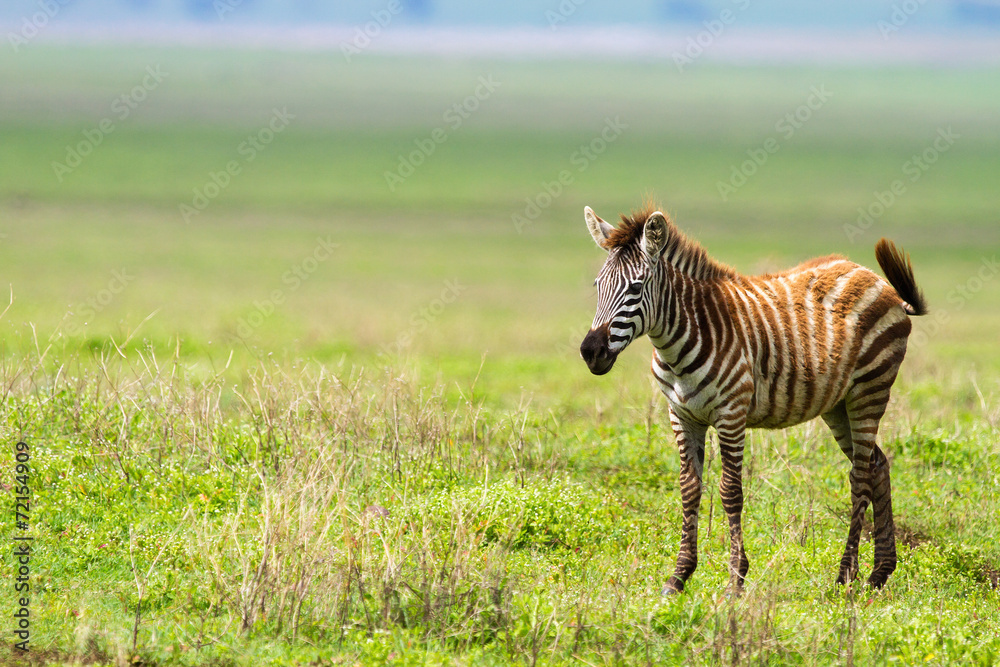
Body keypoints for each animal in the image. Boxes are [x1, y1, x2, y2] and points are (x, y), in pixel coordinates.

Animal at [579, 203, 927, 594]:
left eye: (636, 288)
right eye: (597, 286)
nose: (591, 352)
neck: (680, 341)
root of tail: (872, 277)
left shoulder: (731, 413)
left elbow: (730, 491)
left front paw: (735, 580)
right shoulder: (681, 415)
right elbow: (689, 489)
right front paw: (679, 576)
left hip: (869, 390)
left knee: (861, 476)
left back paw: (844, 576)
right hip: (838, 405)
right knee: (878, 465)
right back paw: (879, 573)